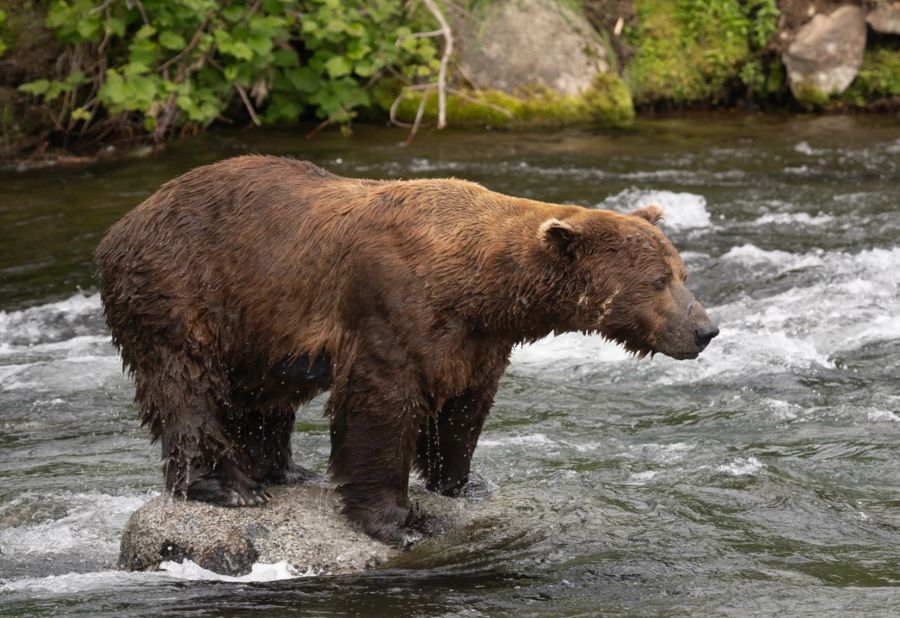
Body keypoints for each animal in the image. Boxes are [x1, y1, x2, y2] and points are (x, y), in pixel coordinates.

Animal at [96, 155, 716, 544]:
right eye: (658, 280)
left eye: (682, 273)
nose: (705, 329)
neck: (483, 288)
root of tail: (121, 224)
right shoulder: (393, 309)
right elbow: (382, 406)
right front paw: (399, 520)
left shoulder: (477, 341)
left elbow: (465, 409)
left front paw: (463, 482)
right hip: (181, 288)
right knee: (185, 384)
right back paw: (229, 486)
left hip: (258, 327)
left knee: (263, 396)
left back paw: (283, 470)